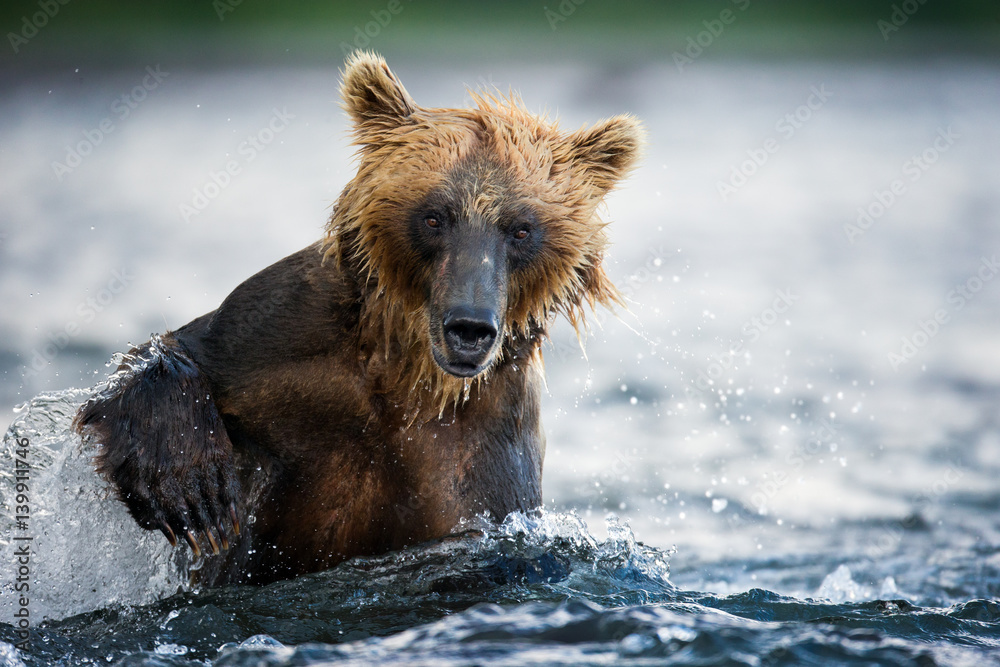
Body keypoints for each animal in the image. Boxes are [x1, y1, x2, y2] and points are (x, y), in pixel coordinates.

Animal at [73, 51, 642, 587]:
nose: (469, 325)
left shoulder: (485, 461)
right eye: (434, 216)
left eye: (521, 229)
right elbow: (172, 356)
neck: (407, 372)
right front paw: (189, 486)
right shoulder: (284, 339)